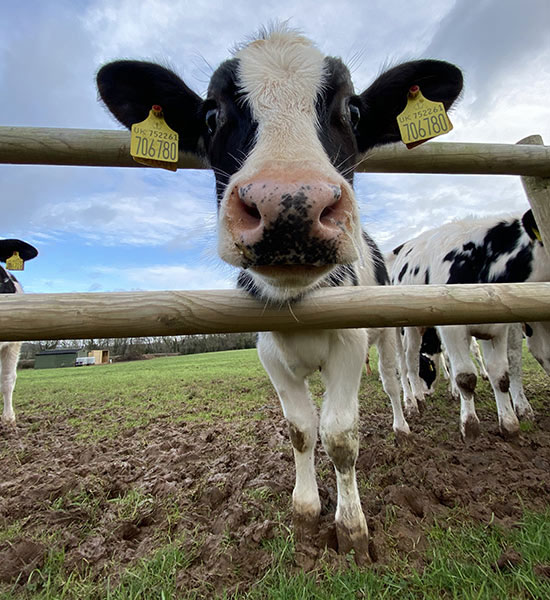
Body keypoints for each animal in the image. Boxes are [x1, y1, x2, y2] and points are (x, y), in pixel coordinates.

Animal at [96, 25, 466, 564]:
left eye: (353, 111)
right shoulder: (269, 351)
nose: (290, 206)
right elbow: (301, 430)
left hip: (387, 332)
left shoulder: (350, 344)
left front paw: (351, 528)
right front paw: (306, 513)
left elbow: (340, 435)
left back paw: (402, 424)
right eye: (211, 115)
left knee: (394, 380)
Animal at [392, 210, 550, 440]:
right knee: (410, 362)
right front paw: (469, 425)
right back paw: (417, 401)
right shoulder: (452, 330)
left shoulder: (496, 330)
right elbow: (465, 377)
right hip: (410, 330)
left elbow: (501, 376)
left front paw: (509, 423)